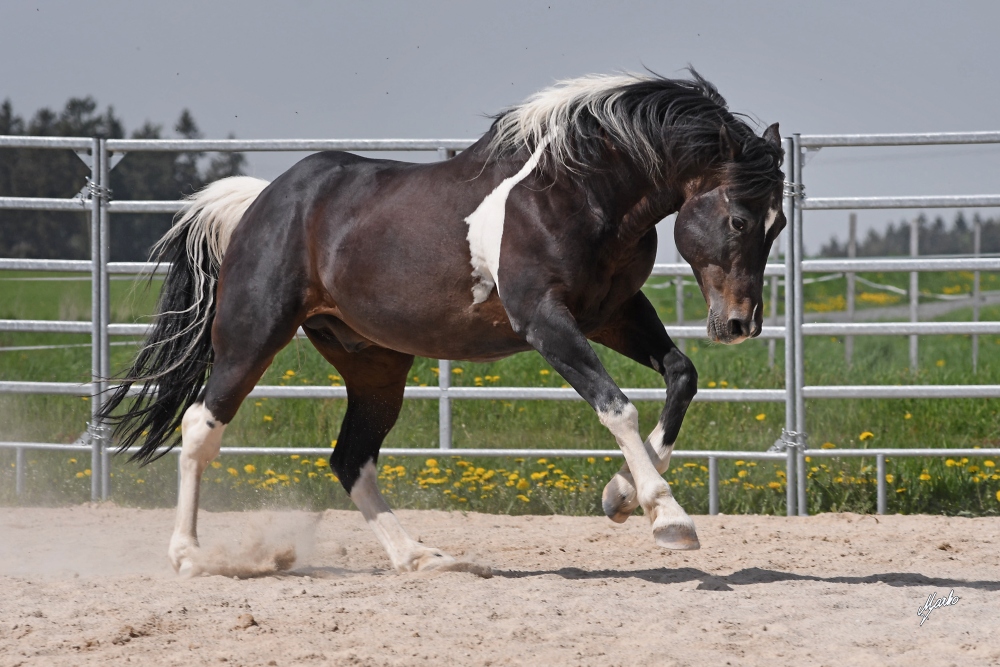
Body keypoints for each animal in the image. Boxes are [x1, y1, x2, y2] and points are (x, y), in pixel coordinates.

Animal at [103, 72, 788, 576]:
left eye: (778, 223)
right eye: (738, 220)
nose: (739, 324)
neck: (577, 193)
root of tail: (260, 203)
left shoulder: (613, 314)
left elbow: (681, 375)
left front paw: (620, 496)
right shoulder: (544, 320)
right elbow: (615, 406)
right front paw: (668, 518)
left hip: (375, 364)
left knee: (350, 458)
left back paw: (420, 557)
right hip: (251, 339)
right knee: (201, 426)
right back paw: (190, 557)